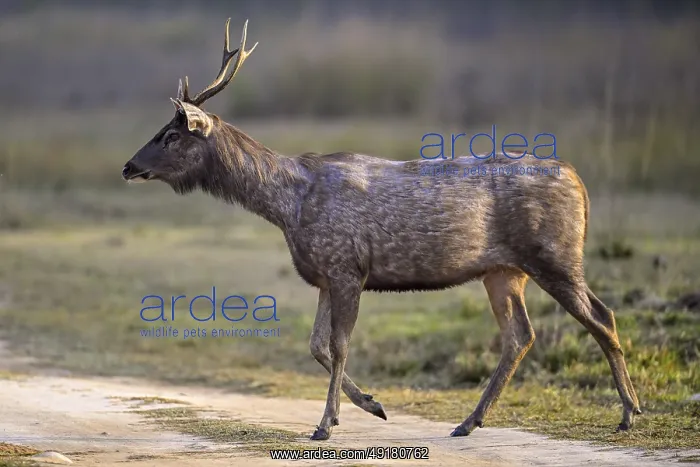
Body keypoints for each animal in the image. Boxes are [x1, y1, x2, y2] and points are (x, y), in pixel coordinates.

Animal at [122, 18, 642, 441]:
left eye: (171, 135)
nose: (128, 166)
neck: (289, 206)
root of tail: (578, 181)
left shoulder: (347, 267)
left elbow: (338, 345)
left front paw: (325, 425)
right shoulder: (325, 274)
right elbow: (316, 345)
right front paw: (372, 405)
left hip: (554, 254)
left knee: (602, 316)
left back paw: (629, 413)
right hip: (503, 270)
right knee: (521, 335)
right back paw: (469, 422)